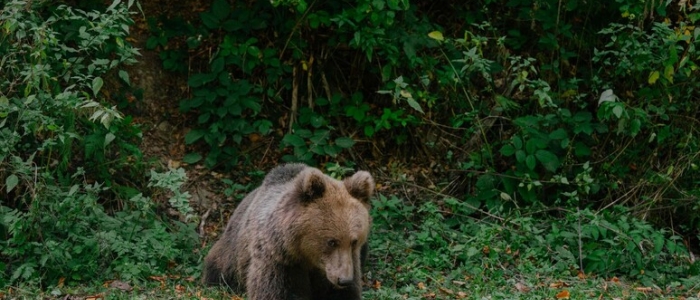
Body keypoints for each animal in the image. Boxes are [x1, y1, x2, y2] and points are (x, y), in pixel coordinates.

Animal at [202, 164, 374, 300]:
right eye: (331, 241)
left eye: (354, 241)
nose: (344, 280)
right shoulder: (279, 260)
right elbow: (278, 292)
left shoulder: (347, 262)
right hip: (232, 253)